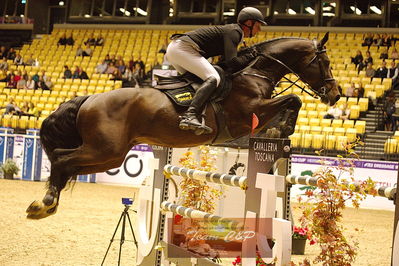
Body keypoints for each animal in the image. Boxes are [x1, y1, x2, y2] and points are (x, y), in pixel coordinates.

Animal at [25, 31, 340, 218]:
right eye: (324, 62)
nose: (335, 95)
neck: (255, 73)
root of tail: (89, 98)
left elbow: (291, 101)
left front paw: (279, 129)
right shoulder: (250, 112)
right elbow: (293, 99)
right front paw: (283, 129)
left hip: (109, 155)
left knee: (68, 165)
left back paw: (45, 204)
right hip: (104, 149)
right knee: (62, 158)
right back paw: (46, 201)